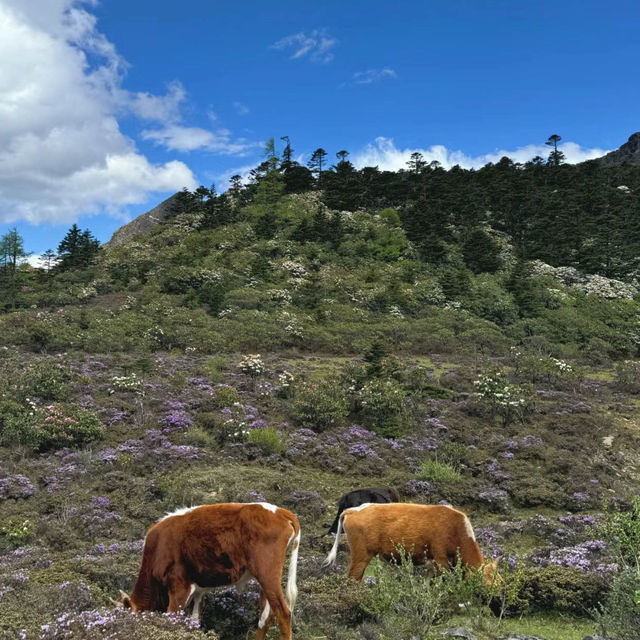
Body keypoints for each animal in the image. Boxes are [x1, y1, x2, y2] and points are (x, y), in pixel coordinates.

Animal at [113, 502, 302, 636]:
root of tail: (279, 511)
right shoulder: (198, 591)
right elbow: (194, 621)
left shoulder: (179, 587)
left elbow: (172, 618)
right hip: (264, 580)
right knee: (266, 617)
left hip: (267, 574)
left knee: (283, 613)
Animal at [324, 502, 500, 588]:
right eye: (488, 582)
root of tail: (353, 510)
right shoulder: (441, 560)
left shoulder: (431, 565)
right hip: (361, 556)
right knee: (353, 577)